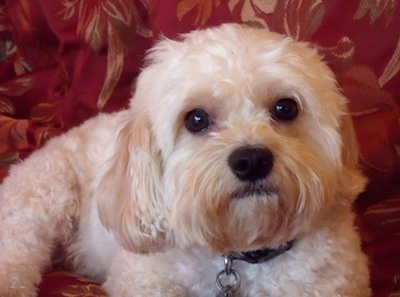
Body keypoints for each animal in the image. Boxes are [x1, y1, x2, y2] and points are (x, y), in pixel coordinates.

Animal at [0, 23, 370, 296]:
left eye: (285, 107)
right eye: (196, 119)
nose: (251, 160)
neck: (240, 254)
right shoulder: (143, 278)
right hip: (43, 197)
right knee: (16, 251)